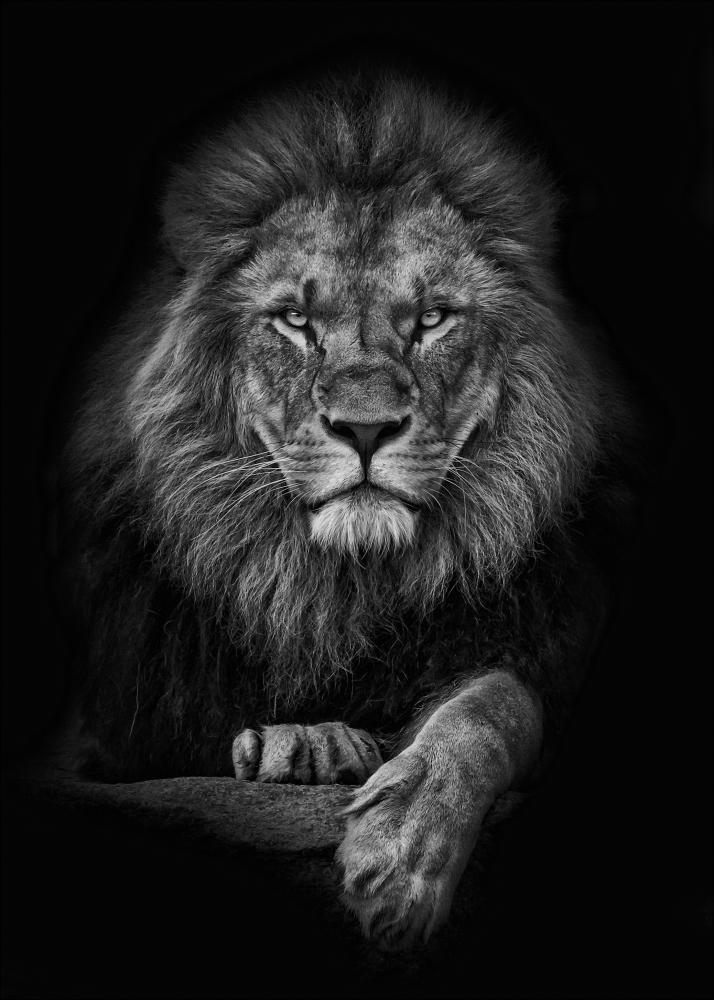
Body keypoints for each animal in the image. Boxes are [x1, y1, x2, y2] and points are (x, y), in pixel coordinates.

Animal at [57, 67, 638, 951]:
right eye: (297, 320)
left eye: (431, 318)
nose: (365, 429)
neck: (336, 589)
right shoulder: (112, 729)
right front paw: (306, 742)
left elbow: (493, 705)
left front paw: (402, 851)